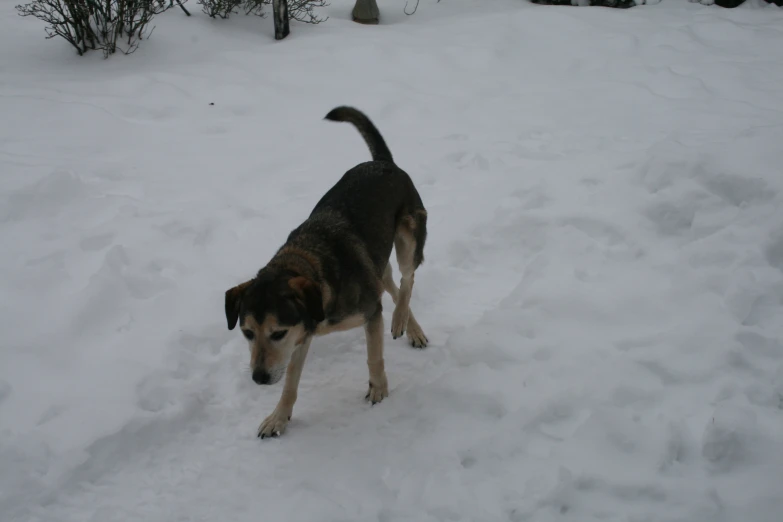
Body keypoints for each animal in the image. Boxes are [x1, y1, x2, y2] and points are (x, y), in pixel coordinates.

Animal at [224, 104, 432, 434]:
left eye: (277, 333)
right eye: (247, 333)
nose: (258, 378)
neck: (308, 265)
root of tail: (383, 162)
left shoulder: (368, 312)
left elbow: (374, 356)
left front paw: (379, 390)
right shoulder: (302, 334)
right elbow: (290, 382)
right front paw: (278, 418)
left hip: (409, 236)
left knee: (407, 278)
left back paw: (400, 321)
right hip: (377, 262)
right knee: (392, 283)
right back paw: (411, 328)